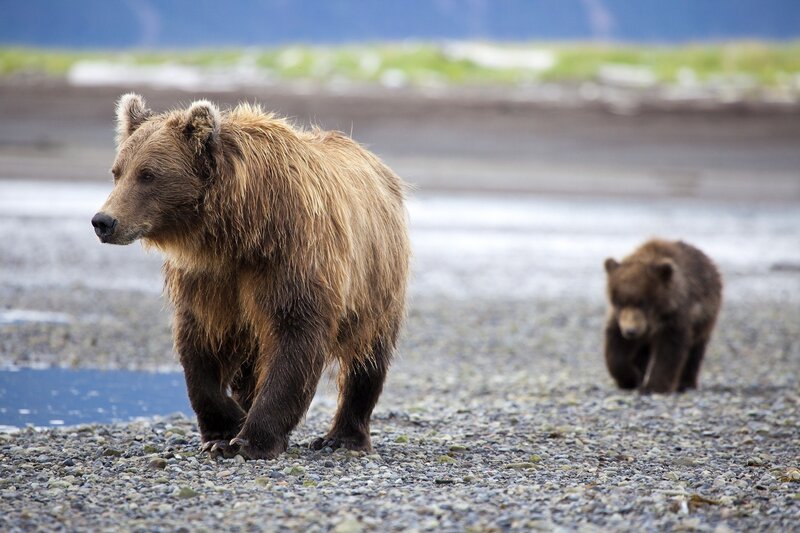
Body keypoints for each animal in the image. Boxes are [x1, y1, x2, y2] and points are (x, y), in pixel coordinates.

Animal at [92, 94, 411, 459]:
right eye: (117, 171)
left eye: (148, 174)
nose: (104, 221)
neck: (239, 231)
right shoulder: (209, 279)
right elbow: (199, 344)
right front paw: (224, 428)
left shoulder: (292, 258)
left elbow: (294, 337)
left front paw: (252, 438)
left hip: (377, 279)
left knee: (368, 356)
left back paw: (342, 437)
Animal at [603, 239, 722, 394]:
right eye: (619, 302)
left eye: (643, 302)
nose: (631, 331)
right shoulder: (620, 319)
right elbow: (616, 348)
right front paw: (631, 378)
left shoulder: (674, 316)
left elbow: (669, 350)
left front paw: (653, 387)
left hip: (704, 318)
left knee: (696, 350)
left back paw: (685, 384)